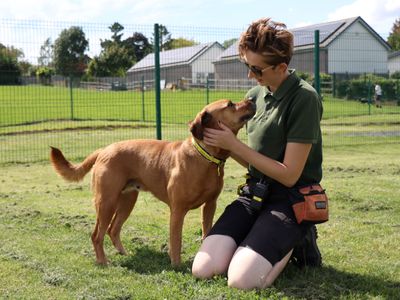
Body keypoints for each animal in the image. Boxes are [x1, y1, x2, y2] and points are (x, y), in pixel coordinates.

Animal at [50, 98, 256, 264]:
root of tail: (103, 150)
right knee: (96, 235)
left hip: (127, 201)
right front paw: (176, 265)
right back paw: (102, 262)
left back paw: (123, 253)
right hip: (106, 202)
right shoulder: (178, 210)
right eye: (230, 104)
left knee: (113, 230)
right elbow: (176, 240)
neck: (205, 156)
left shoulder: (210, 205)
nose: (252, 99)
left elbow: (207, 232)